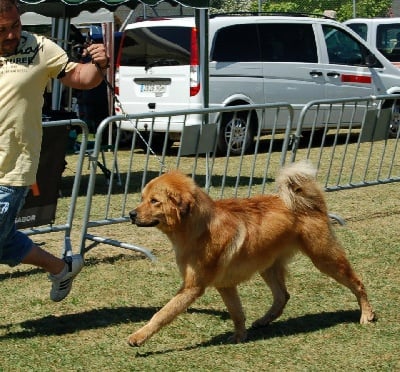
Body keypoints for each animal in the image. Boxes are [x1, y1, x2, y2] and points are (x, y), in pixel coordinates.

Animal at [128, 161, 376, 348]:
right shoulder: (225, 285)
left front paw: (138, 337)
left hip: (324, 259)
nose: (131, 214)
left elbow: (162, 314)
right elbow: (237, 313)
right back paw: (263, 321)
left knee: (358, 283)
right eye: (141, 198)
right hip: (268, 266)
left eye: (154, 201)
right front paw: (240, 337)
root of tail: (309, 203)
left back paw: (367, 315)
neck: (198, 228)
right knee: (282, 296)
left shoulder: (192, 288)